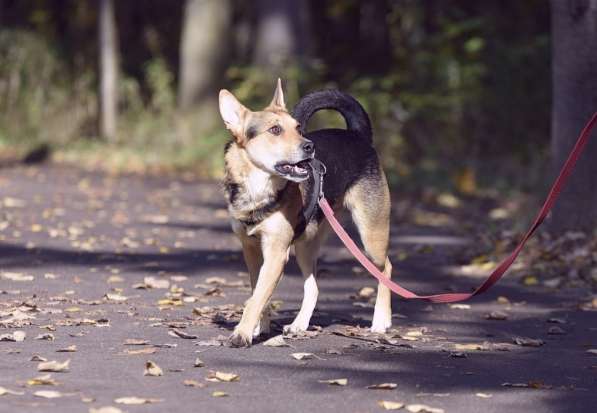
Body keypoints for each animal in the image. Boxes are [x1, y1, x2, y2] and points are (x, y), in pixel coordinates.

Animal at [218, 79, 392, 346]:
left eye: (298, 128)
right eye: (275, 130)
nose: (310, 146)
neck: (259, 188)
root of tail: (357, 134)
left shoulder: (276, 254)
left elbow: (256, 298)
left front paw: (243, 333)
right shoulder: (252, 251)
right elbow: (259, 293)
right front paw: (259, 327)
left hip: (371, 236)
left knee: (386, 268)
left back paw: (381, 321)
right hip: (305, 246)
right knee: (314, 287)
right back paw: (299, 324)